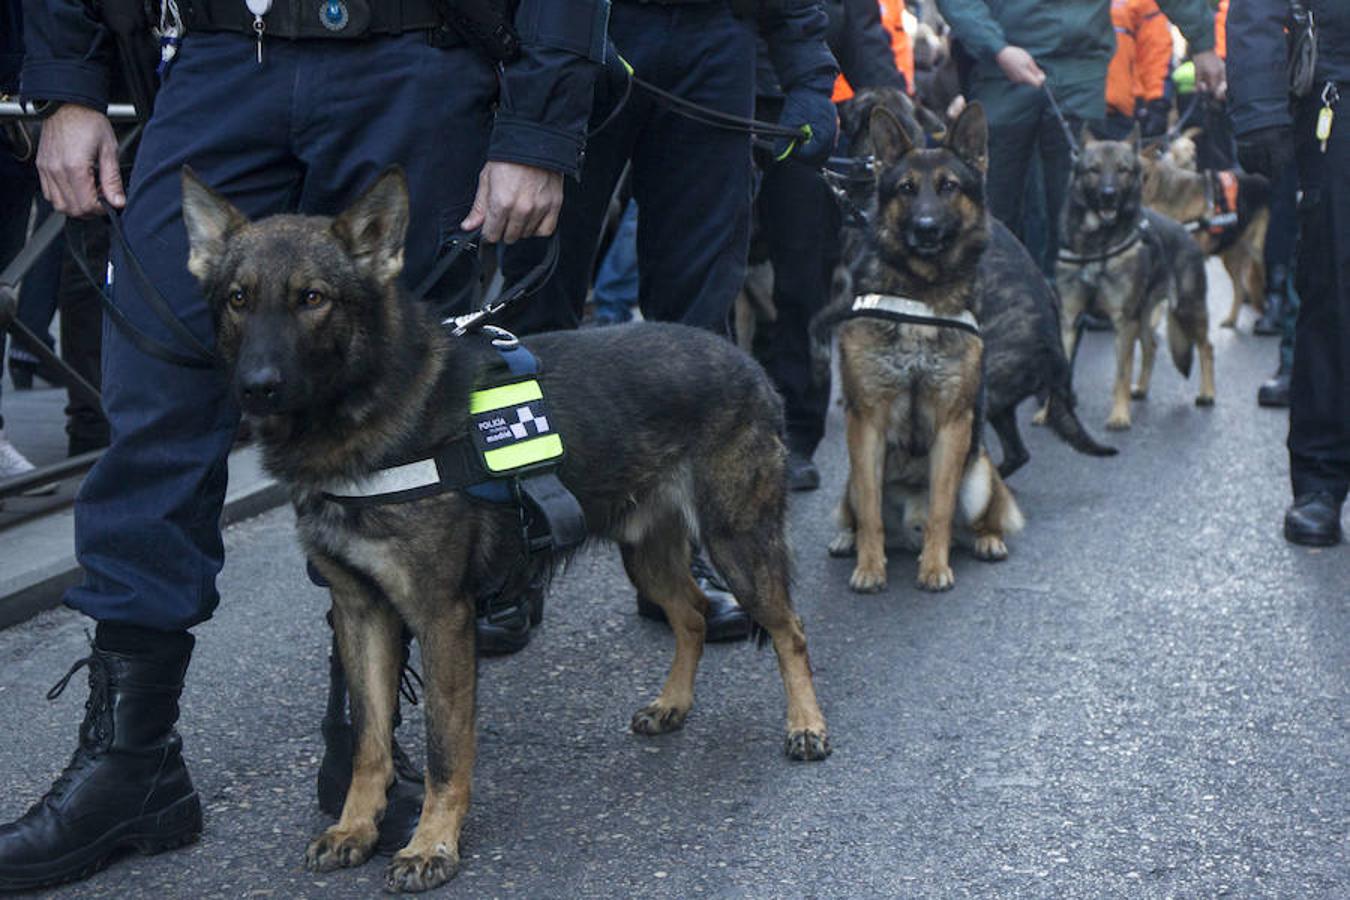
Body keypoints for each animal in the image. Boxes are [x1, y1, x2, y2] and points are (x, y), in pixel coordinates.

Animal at [179, 165, 826, 890]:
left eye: (312, 298)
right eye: (238, 299)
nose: (256, 387)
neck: (367, 412)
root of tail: (741, 356)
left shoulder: (440, 617)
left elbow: (444, 745)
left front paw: (432, 845)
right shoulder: (361, 613)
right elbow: (371, 739)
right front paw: (355, 827)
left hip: (737, 543)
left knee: (790, 629)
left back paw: (806, 725)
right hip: (647, 553)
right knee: (689, 615)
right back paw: (673, 704)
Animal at [810, 105, 1020, 593]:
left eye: (949, 187)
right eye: (906, 189)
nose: (925, 228)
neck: (921, 292)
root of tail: (909, 528)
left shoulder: (952, 424)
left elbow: (942, 507)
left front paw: (935, 568)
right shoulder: (866, 422)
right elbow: (870, 511)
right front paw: (870, 567)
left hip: (979, 476)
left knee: (981, 517)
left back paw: (986, 540)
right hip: (850, 479)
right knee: (857, 511)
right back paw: (848, 540)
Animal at [1058, 127, 1220, 431]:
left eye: (1122, 170)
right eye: (1094, 170)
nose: (1108, 196)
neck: (1098, 242)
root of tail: (1185, 232)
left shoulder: (1123, 323)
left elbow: (1121, 374)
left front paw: (1119, 416)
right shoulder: (1070, 319)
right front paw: (1046, 414)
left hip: (1187, 310)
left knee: (1206, 347)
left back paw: (1207, 393)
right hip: (1145, 316)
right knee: (1152, 347)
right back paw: (1142, 388)